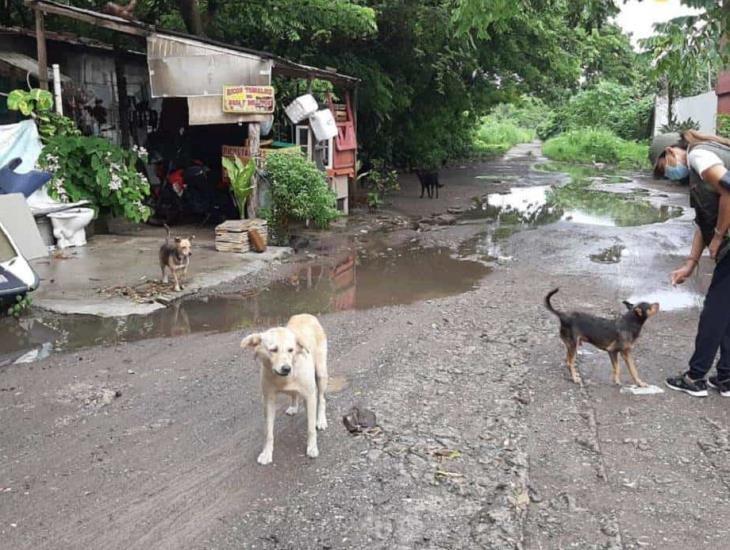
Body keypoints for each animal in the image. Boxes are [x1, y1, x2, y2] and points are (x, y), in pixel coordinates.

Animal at [240, 314, 328, 466]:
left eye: (291, 350)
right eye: (273, 349)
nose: (286, 368)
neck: (284, 379)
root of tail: (306, 315)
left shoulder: (310, 396)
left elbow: (311, 428)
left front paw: (312, 447)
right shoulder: (268, 400)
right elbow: (268, 432)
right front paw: (267, 453)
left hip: (321, 373)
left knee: (322, 399)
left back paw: (321, 420)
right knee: (294, 394)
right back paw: (293, 406)